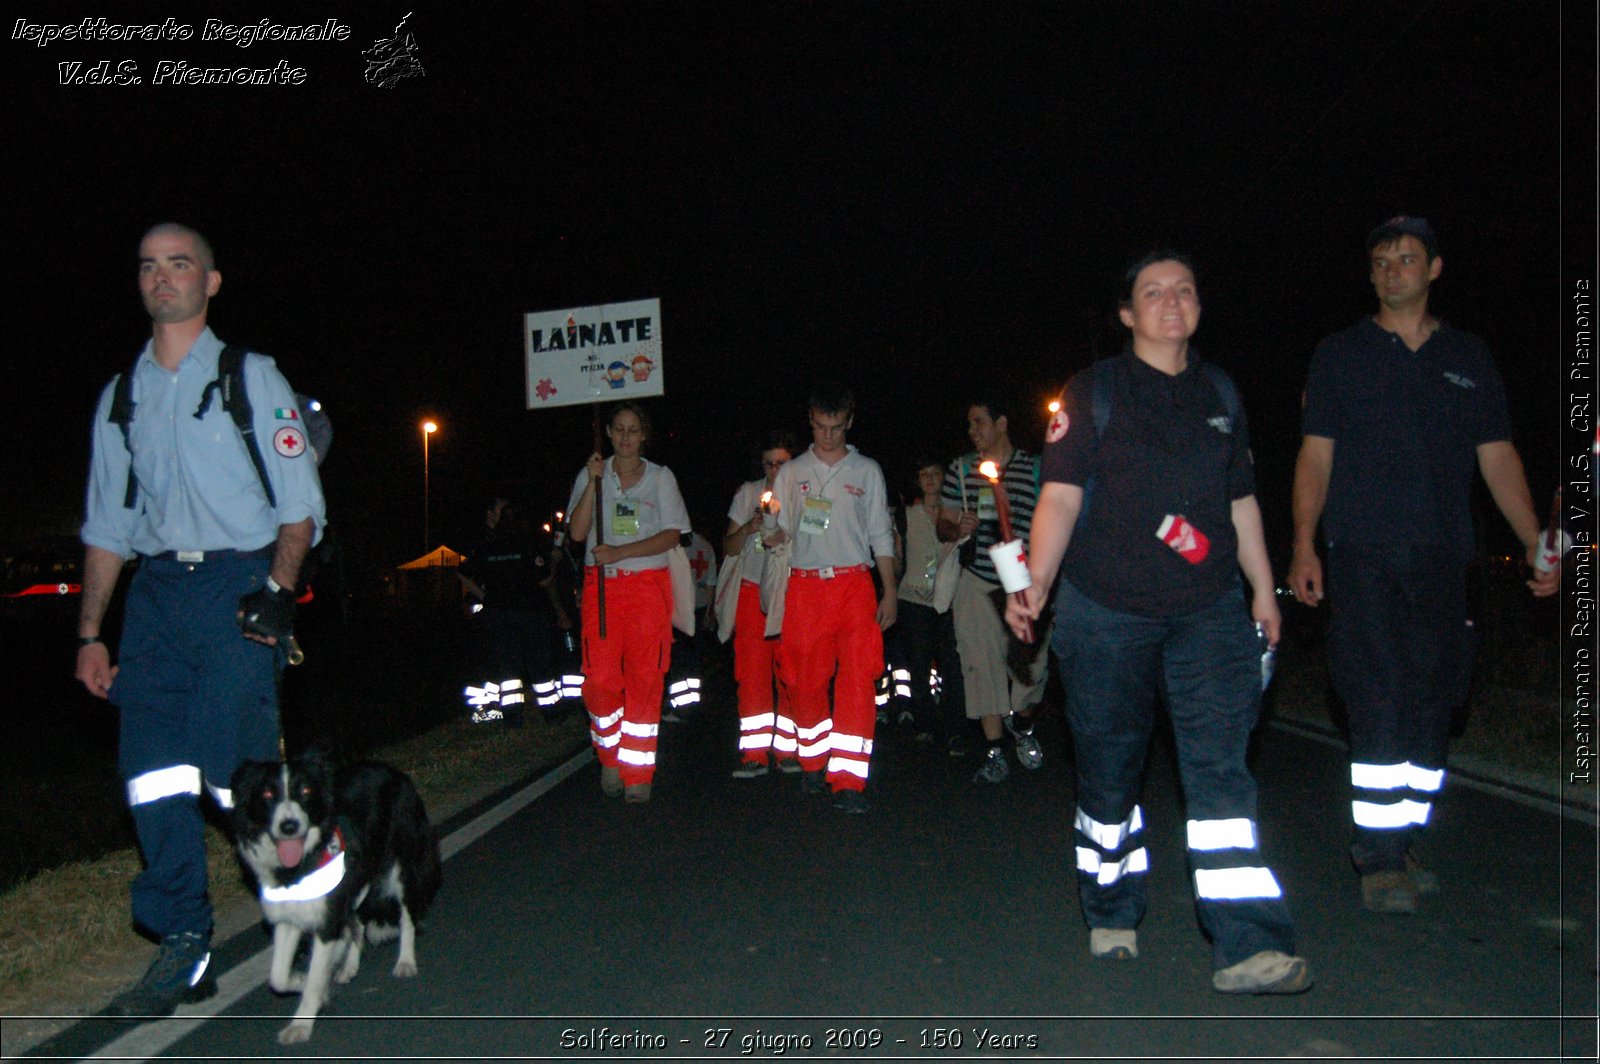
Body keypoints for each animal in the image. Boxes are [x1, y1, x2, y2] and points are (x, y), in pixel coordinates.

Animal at [228, 752, 441, 1043]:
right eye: (268, 794)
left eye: (306, 791)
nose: (289, 826)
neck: (300, 865)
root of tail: (394, 772)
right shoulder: (288, 917)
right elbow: (278, 977)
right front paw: (304, 982)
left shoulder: (326, 919)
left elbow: (315, 974)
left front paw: (301, 1024)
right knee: (357, 923)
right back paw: (349, 965)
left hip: (403, 864)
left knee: (407, 916)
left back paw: (406, 961)